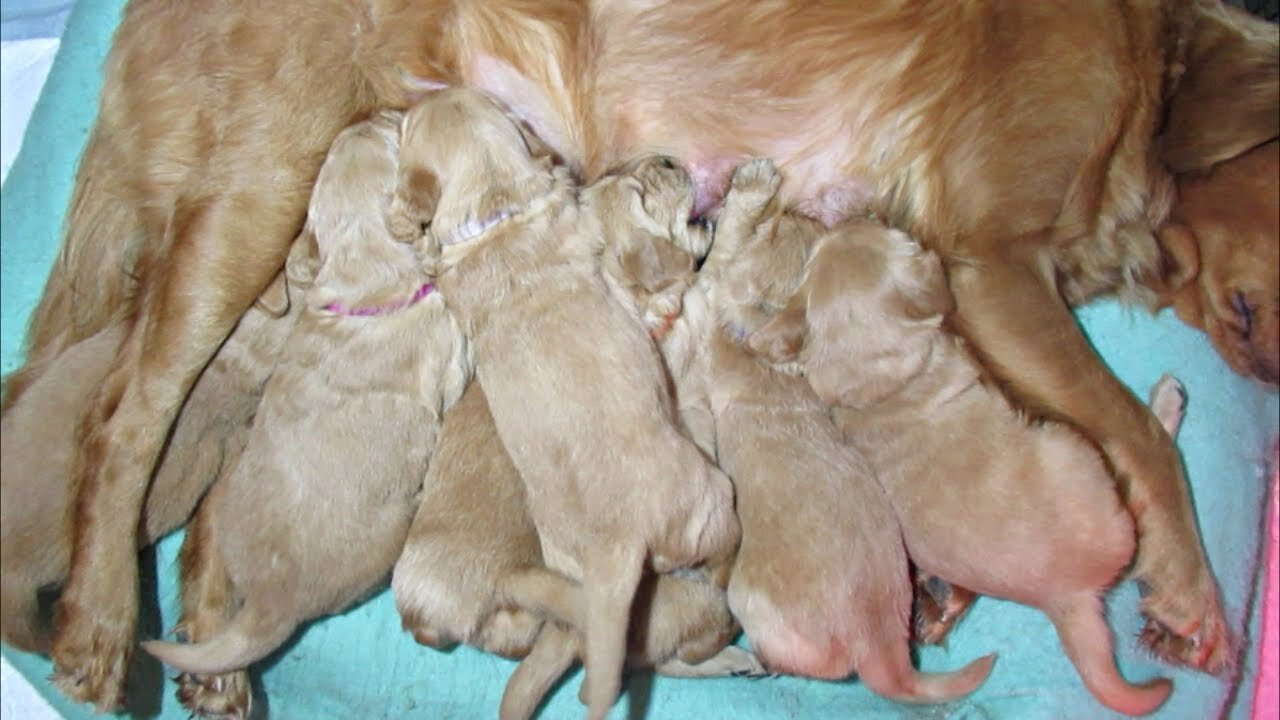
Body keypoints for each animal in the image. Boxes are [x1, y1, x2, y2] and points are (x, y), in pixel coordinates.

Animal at [141, 109, 471, 681]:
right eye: (392, 137)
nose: (374, 113)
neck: (365, 267)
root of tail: (268, 606)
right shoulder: (444, 347)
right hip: (385, 538)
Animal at [396, 89, 742, 717]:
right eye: (644, 190)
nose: (668, 158)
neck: (499, 213)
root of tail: (617, 544)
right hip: (712, 497)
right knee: (717, 565)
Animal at [747, 221, 1177, 712]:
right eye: (891, 235)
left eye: (821, 251)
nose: (847, 220)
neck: (882, 384)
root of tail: (1066, 599)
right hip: (1078, 455)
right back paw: (1166, 404)